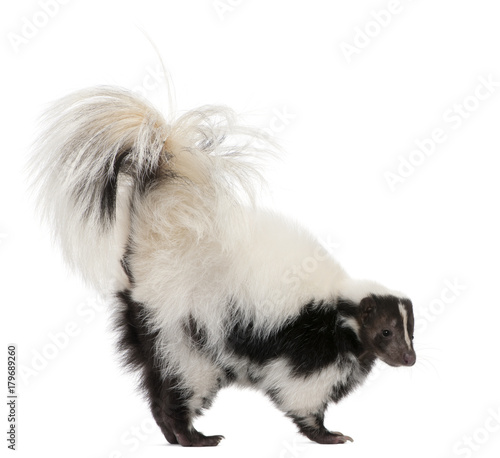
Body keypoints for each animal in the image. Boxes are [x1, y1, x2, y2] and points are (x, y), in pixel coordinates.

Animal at [29, 87, 416, 448]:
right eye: (385, 331)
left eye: (410, 330)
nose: (410, 358)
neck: (341, 309)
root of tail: (155, 250)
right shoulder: (306, 348)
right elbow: (301, 393)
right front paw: (328, 434)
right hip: (186, 332)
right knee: (180, 386)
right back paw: (193, 437)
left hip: (153, 333)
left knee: (157, 385)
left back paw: (172, 437)